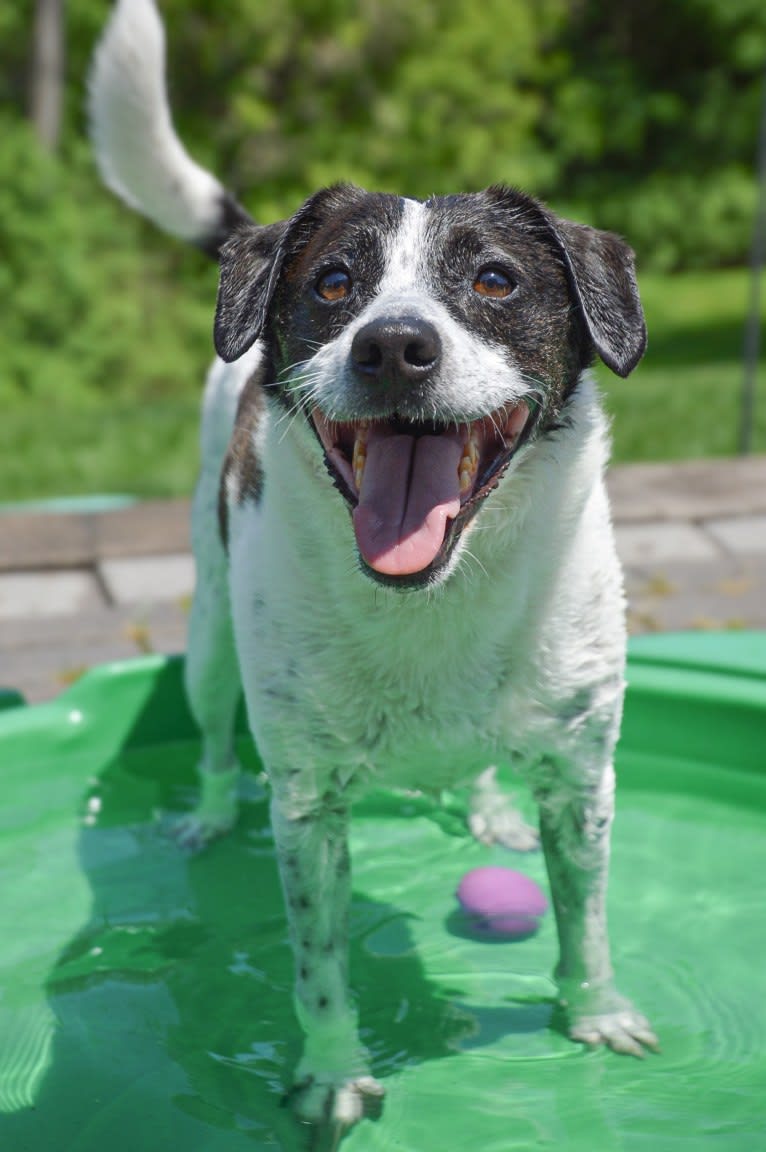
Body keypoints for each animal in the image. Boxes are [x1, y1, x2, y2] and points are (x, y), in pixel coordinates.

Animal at [90, 0, 658, 1133]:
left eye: (494, 280)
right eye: (333, 284)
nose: (392, 345)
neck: (433, 602)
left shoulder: (584, 778)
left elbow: (585, 918)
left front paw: (594, 1013)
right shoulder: (309, 807)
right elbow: (319, 967)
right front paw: (332, 1073)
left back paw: (484, 806)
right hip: (209, 640)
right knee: (212, 733)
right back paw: (207, 813)